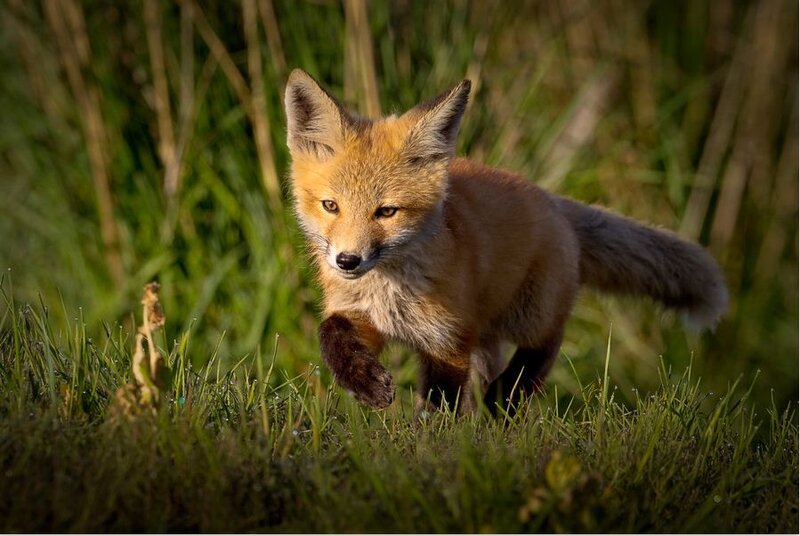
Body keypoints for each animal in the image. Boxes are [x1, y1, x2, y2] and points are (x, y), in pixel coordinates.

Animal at [283, 68, 728, 415]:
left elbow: (439, 404)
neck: (390, 291)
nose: (348, 261)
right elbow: (330, 333)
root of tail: (550, 199)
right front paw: (366, 383)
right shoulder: (364, 316)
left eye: (387, 212)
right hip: (488, 334)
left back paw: (505, 396)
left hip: (529, 314)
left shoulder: (448, 341)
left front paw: (429, 447)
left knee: (546, 345)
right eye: (330, 206)